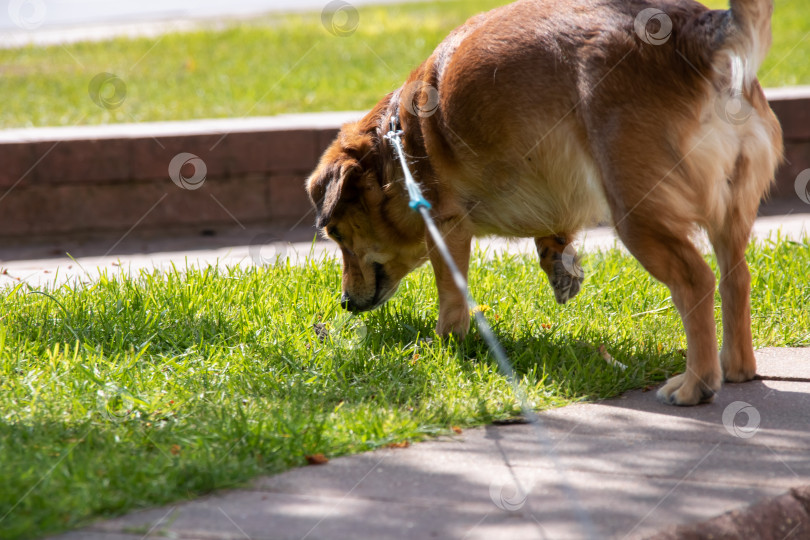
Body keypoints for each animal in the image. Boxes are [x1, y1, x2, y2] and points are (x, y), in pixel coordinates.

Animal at [306, 0, 780, 404]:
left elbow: (451, 296)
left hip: (637, 216)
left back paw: (696, 383)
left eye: (336, 234)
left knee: (696, 282)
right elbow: (554, 235)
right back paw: (735, 367)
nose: (344, 303)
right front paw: (559, 264)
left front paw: (446, 344)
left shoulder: (446, 227)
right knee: (736, 278)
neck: (398, 142)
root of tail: (699, 33)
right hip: (731, 216)